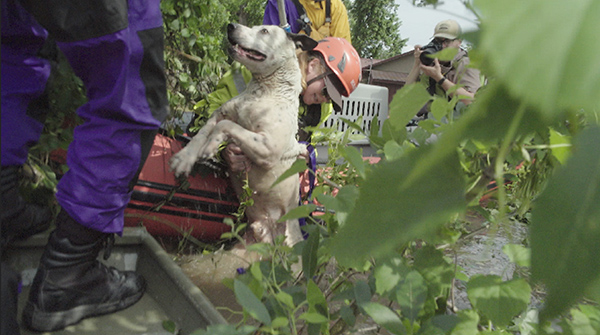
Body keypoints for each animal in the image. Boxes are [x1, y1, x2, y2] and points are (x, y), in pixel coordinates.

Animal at [170, 23, 318, 249]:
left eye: (264, 31)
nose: (230, 25)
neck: (264, 91)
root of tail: (267, 230)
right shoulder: (218, 114)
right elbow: (202, 133)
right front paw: (184, 158)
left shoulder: (268, 147)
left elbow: (226, 126)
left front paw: (211, 146)